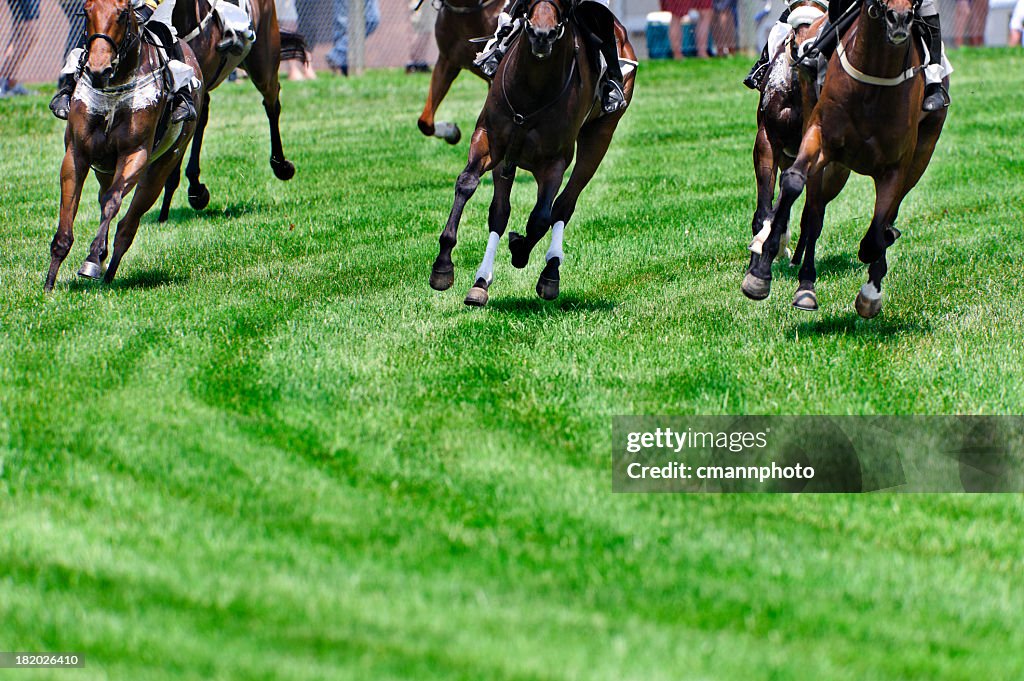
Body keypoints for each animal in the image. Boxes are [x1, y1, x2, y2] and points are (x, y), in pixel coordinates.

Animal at [44, 0, 203, 288]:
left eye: (121, 14)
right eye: (86, 11)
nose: (98, 69)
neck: (114, 89)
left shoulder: (135, 155)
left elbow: (113, 201)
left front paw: (92, 259)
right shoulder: (76, 154)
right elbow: (68, 213)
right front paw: (49, 284)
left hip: (161, 167)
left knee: (128, 225)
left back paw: (108, 272)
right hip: (103, 168)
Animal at [423, 0, 630, 305]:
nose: (541, 34)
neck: (535, 88)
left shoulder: (555, 161)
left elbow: (540, 218)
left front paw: (520, 249)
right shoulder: (489, 140)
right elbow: (467, 184)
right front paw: (443, 265)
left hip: (599, 137)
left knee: (563, 205)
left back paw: (550, 271)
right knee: (500, 212)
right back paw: (481, 282)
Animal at [741, 0, 946, 315]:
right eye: (794, 39)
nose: (899, 19)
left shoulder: (895, 165)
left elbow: (876, 226)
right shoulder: (778, 141)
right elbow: (775, 203)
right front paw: (759, 268)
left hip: (910, 158)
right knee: (805, 213)